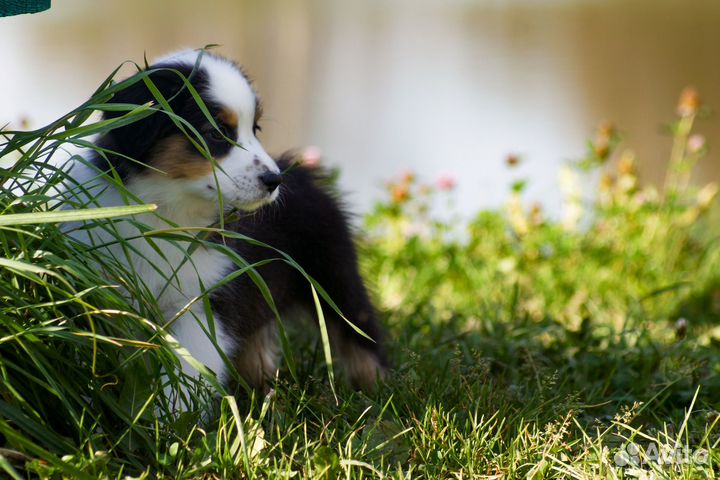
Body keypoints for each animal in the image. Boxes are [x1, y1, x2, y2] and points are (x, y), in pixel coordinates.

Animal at [62, 47, 388, 394]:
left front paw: (172, 410)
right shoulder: (101, 289)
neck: (168, 211)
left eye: (255, 129)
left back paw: (375, 387)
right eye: (215, 133)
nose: (273, 180)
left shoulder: (205, 298)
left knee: (359, 332)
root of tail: (299, 172)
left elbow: (189, 368)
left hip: (333, 273)